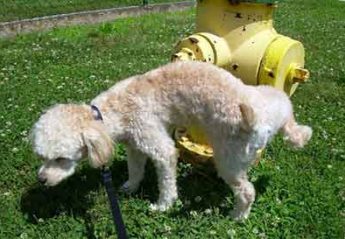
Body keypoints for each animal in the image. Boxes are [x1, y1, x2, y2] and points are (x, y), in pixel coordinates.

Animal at [31, 61, 312, 220]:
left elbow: (166, 181)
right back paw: (300, 132)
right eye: (42, 157)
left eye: (61, 159)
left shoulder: (160, 147)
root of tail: (258, 122)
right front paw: (129, 188)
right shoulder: (135, 146)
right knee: (288, 116)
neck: (111, 112)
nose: (42, 180)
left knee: (247, 191)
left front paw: (163, 206)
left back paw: (238, 216)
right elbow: (135, 170)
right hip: (272, 102)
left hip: (228, 158)